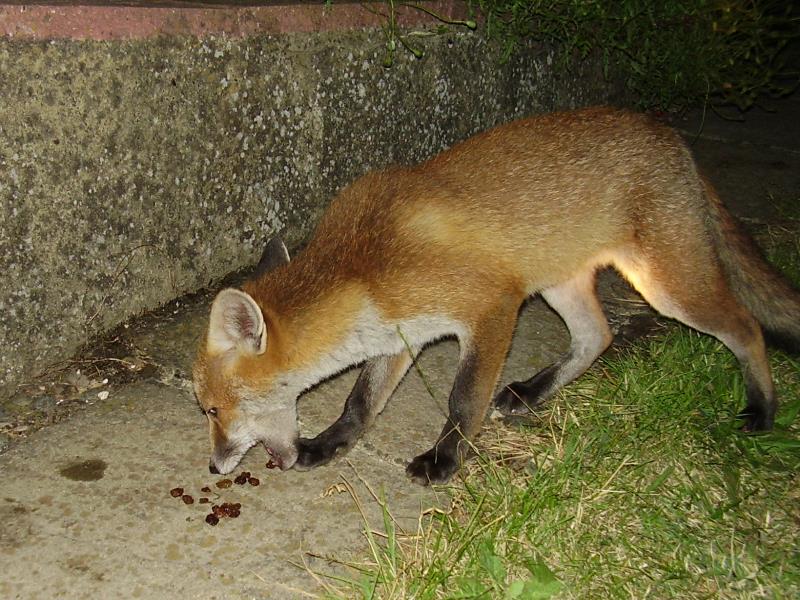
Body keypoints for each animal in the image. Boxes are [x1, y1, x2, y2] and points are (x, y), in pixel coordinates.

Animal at [192, 105, 800, 486]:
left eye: (214, 409)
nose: (214, 468)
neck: (364, 266)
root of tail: (674, 139)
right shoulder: (398, 334)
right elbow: (360, 402)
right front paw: (328, 444)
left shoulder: (492, 307)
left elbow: (463, 400)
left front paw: (444, 459)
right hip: (559, 282)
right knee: (598, 336)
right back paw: (533, 392)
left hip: (666, 285)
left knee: (745, 326)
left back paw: (763, 410)